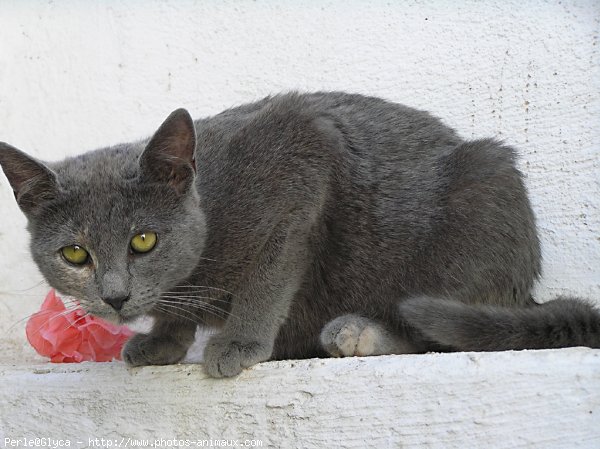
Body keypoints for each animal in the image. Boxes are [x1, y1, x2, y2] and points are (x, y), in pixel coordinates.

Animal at [0, 92, 596, 374]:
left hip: (481, 193)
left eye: (143, 240)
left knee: (436, 331)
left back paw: (358, 332)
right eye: (75, 254)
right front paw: (164, 341)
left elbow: (269, 274)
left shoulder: (303, 162)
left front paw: (238, 342)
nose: (116, 296)